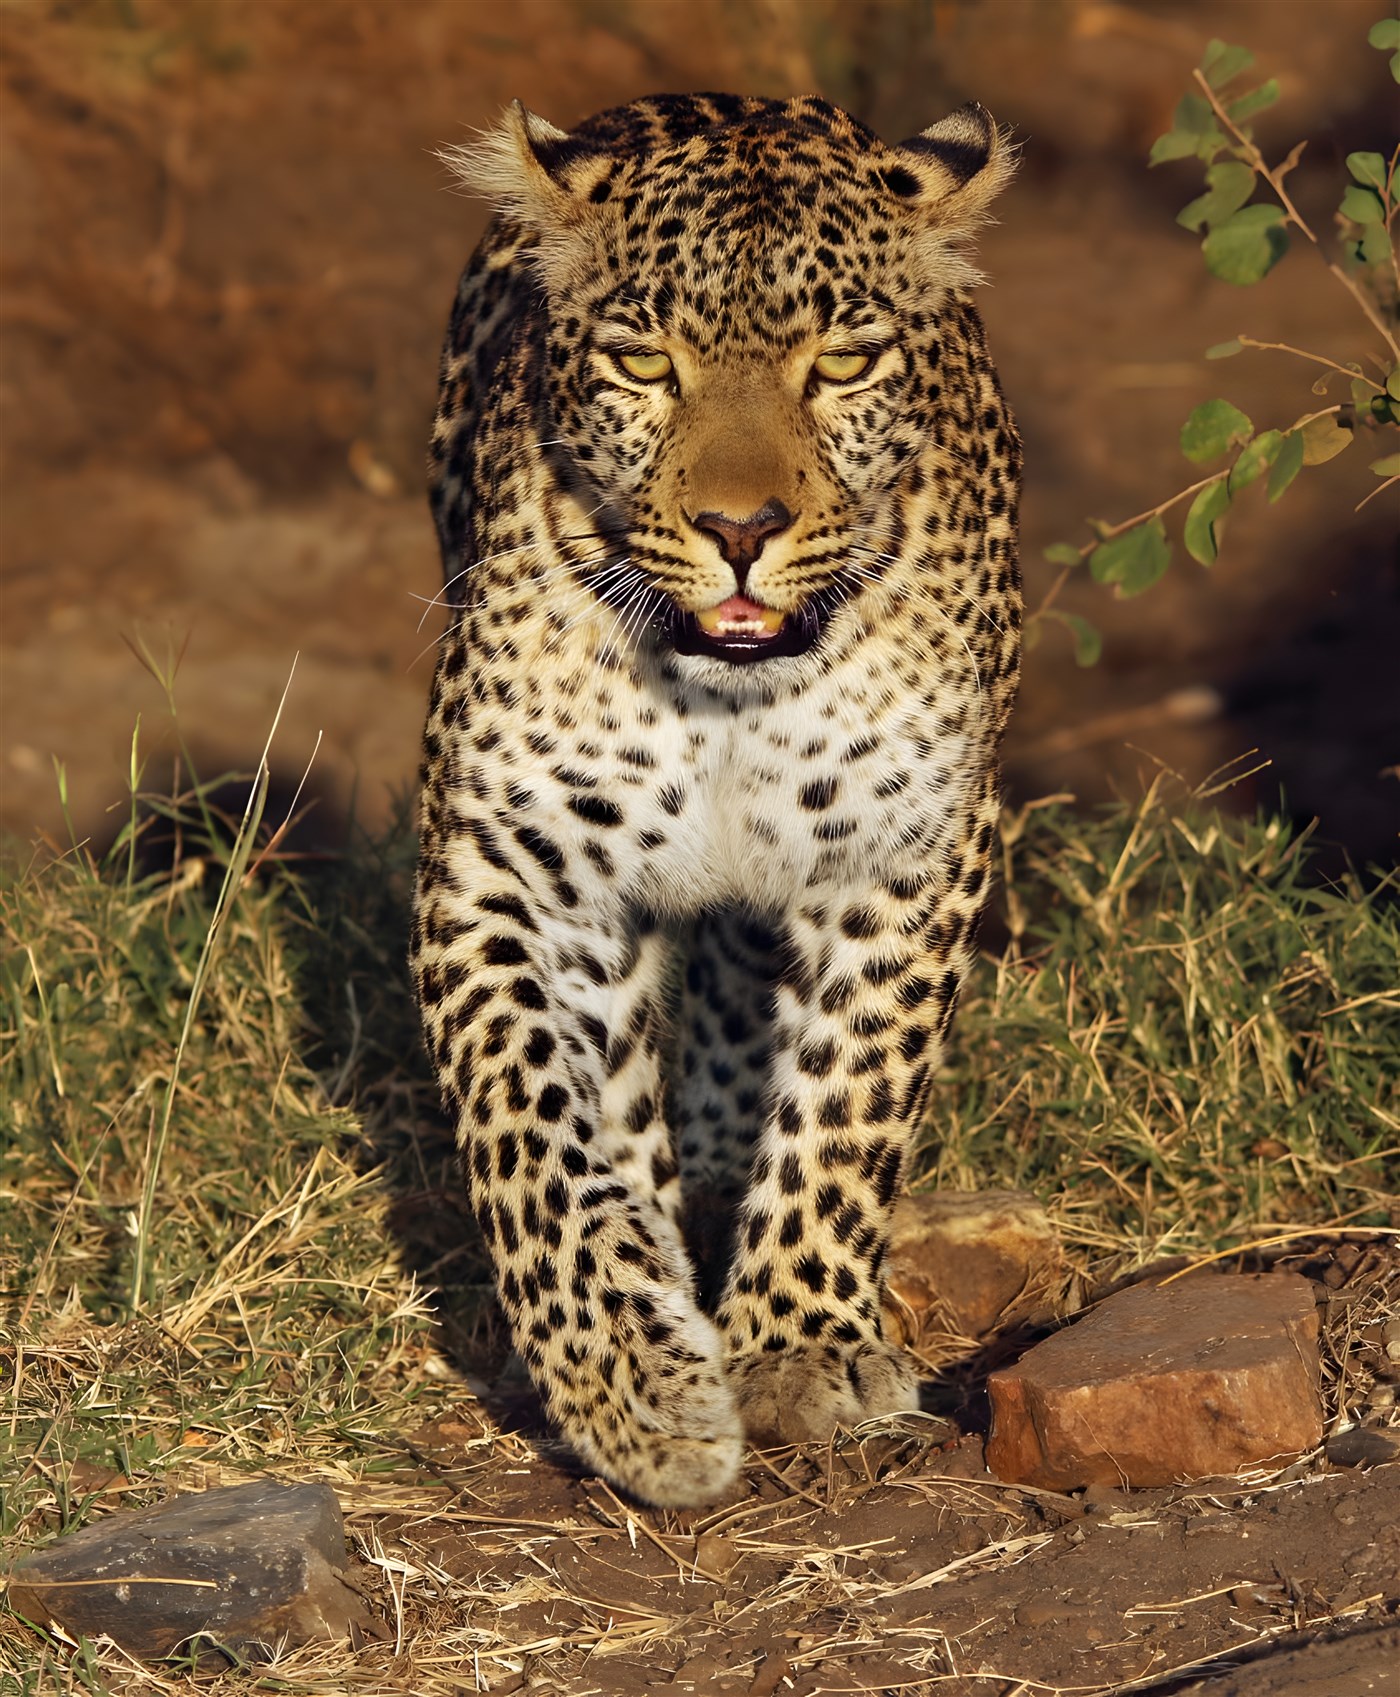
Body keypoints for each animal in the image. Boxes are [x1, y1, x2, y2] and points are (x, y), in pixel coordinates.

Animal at [412, 91, 1021, 1509]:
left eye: (841, 363)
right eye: (644, 364)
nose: (740, 528)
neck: (729, 699)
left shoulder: (908, 854)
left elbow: (850, 1096)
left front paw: (794, 1344)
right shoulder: (504, 862)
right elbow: (530, 1120)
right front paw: (635, 1386)